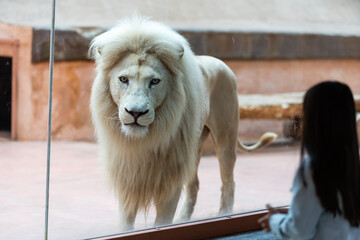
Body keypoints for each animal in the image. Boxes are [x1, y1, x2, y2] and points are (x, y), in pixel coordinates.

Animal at [89, 15, 276, 230]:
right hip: (193, 148)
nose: (136, 113)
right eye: (123, 79)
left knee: (229, 181)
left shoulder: (169, 180)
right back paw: (183, 219)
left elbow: (162, 221)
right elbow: (125, 224)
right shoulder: (128, 179)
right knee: (194, 184)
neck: (145, 140)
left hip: (225, 138)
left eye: (154, 81)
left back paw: (224, 214)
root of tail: (220, 63)